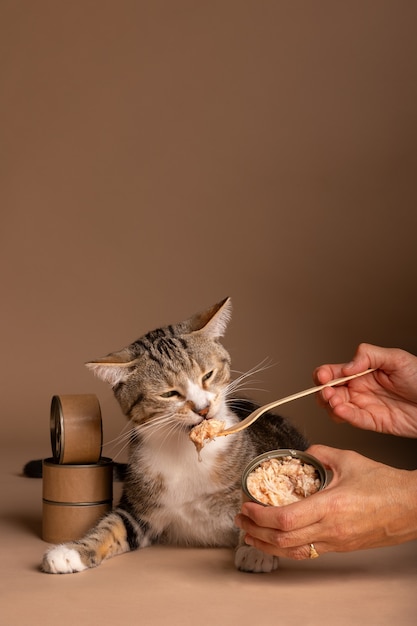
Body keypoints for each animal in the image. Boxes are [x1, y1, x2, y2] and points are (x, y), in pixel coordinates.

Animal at [42, 294, 308, 572]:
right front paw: (71, 551)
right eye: (169, 393)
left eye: (208, 375)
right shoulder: (138, 512)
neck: (186, 451)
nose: (203, 409)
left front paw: (257, 551)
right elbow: (111, 527)